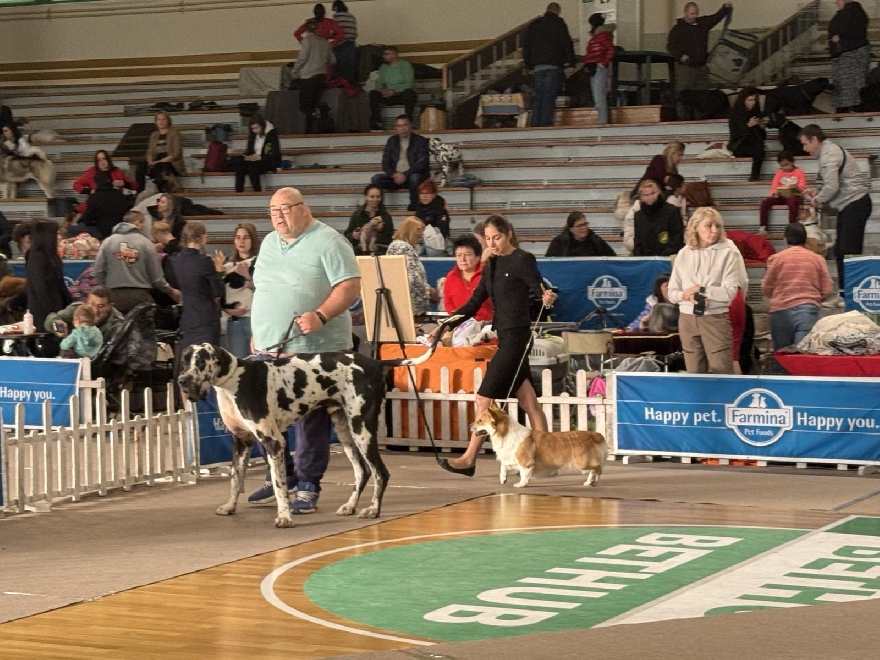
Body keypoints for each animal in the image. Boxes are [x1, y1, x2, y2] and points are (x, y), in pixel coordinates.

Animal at [177, 332, 454, 528]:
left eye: (201, 361)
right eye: (185, 360)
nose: (182, 380)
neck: (234, 380)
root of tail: (375, 362)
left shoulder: (273, 442)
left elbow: (279, 485)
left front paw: (285, 517)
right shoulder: (241, 442)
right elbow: (236, 480)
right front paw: (229, 507)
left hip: (362, 429)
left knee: (380, 473)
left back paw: (373, 510)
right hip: (345, 432)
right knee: (362, 472)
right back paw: (350, 506)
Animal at [470, 402, 608, 490]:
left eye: (480, 421)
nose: (470, 425)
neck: (505, 433)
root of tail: (596, 435)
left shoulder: (525, 462)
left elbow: (524, 475)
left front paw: (521, 484)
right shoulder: (511, 458)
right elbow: (503, 467)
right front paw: (503, 479)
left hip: (581, 463)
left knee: (598, 467)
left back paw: (592, 480)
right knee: (596, 469)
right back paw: (590, 482)